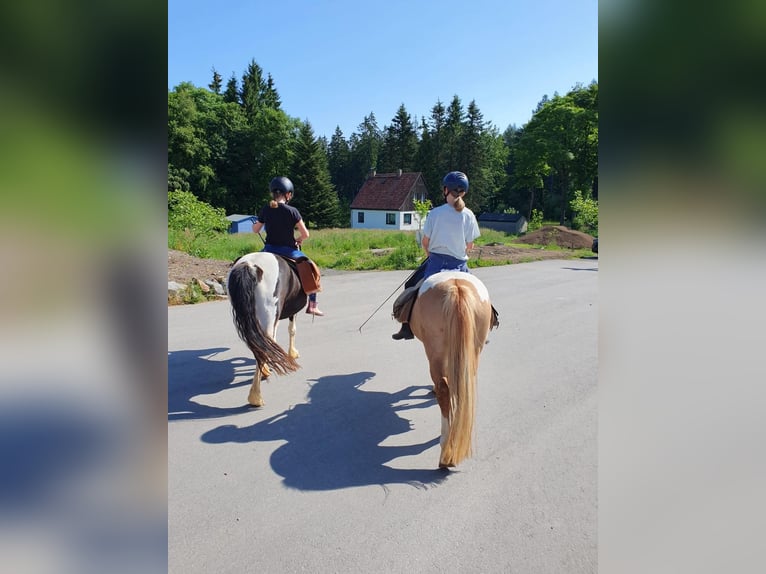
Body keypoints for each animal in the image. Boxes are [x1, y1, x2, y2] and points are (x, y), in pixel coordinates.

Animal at [228, 253, 308, 410]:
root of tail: (251, 266)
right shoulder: (290, 313)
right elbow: (291, 330)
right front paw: (292, 353)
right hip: (269, 315)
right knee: (263, 347)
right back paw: (256, 397)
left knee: (259, 346)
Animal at [408, 272, 498, 470]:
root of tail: (457, 287)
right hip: (472, 349)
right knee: (462, 388)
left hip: (434, 351)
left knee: (444, 390)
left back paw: (445, 452)